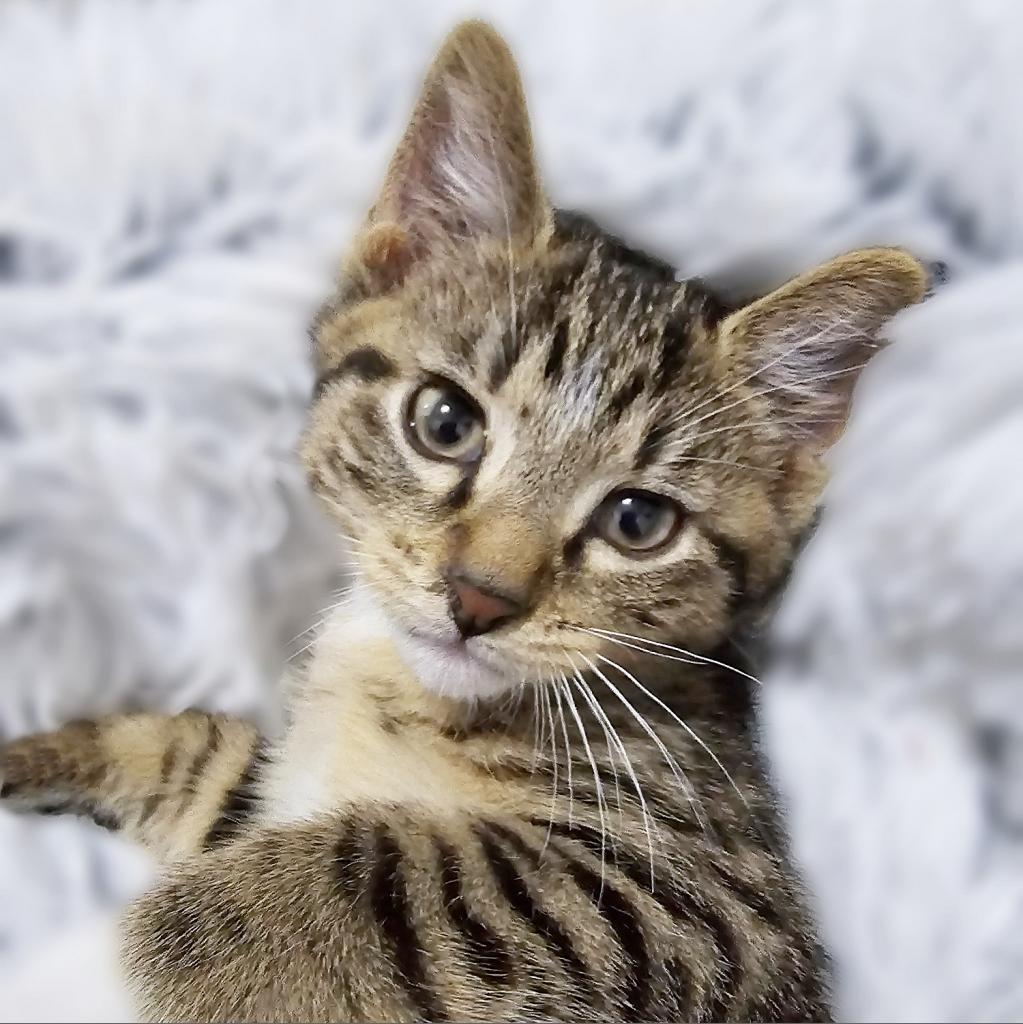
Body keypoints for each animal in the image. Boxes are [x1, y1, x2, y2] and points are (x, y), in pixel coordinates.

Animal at [0, 18, 929, 1024]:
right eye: (445, 423)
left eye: (637, 520)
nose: (478, 599)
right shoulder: (267, 783)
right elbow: (195, 753)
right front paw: (38, 754)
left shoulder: (696, 903)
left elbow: (349, 875)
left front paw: (69, 971)